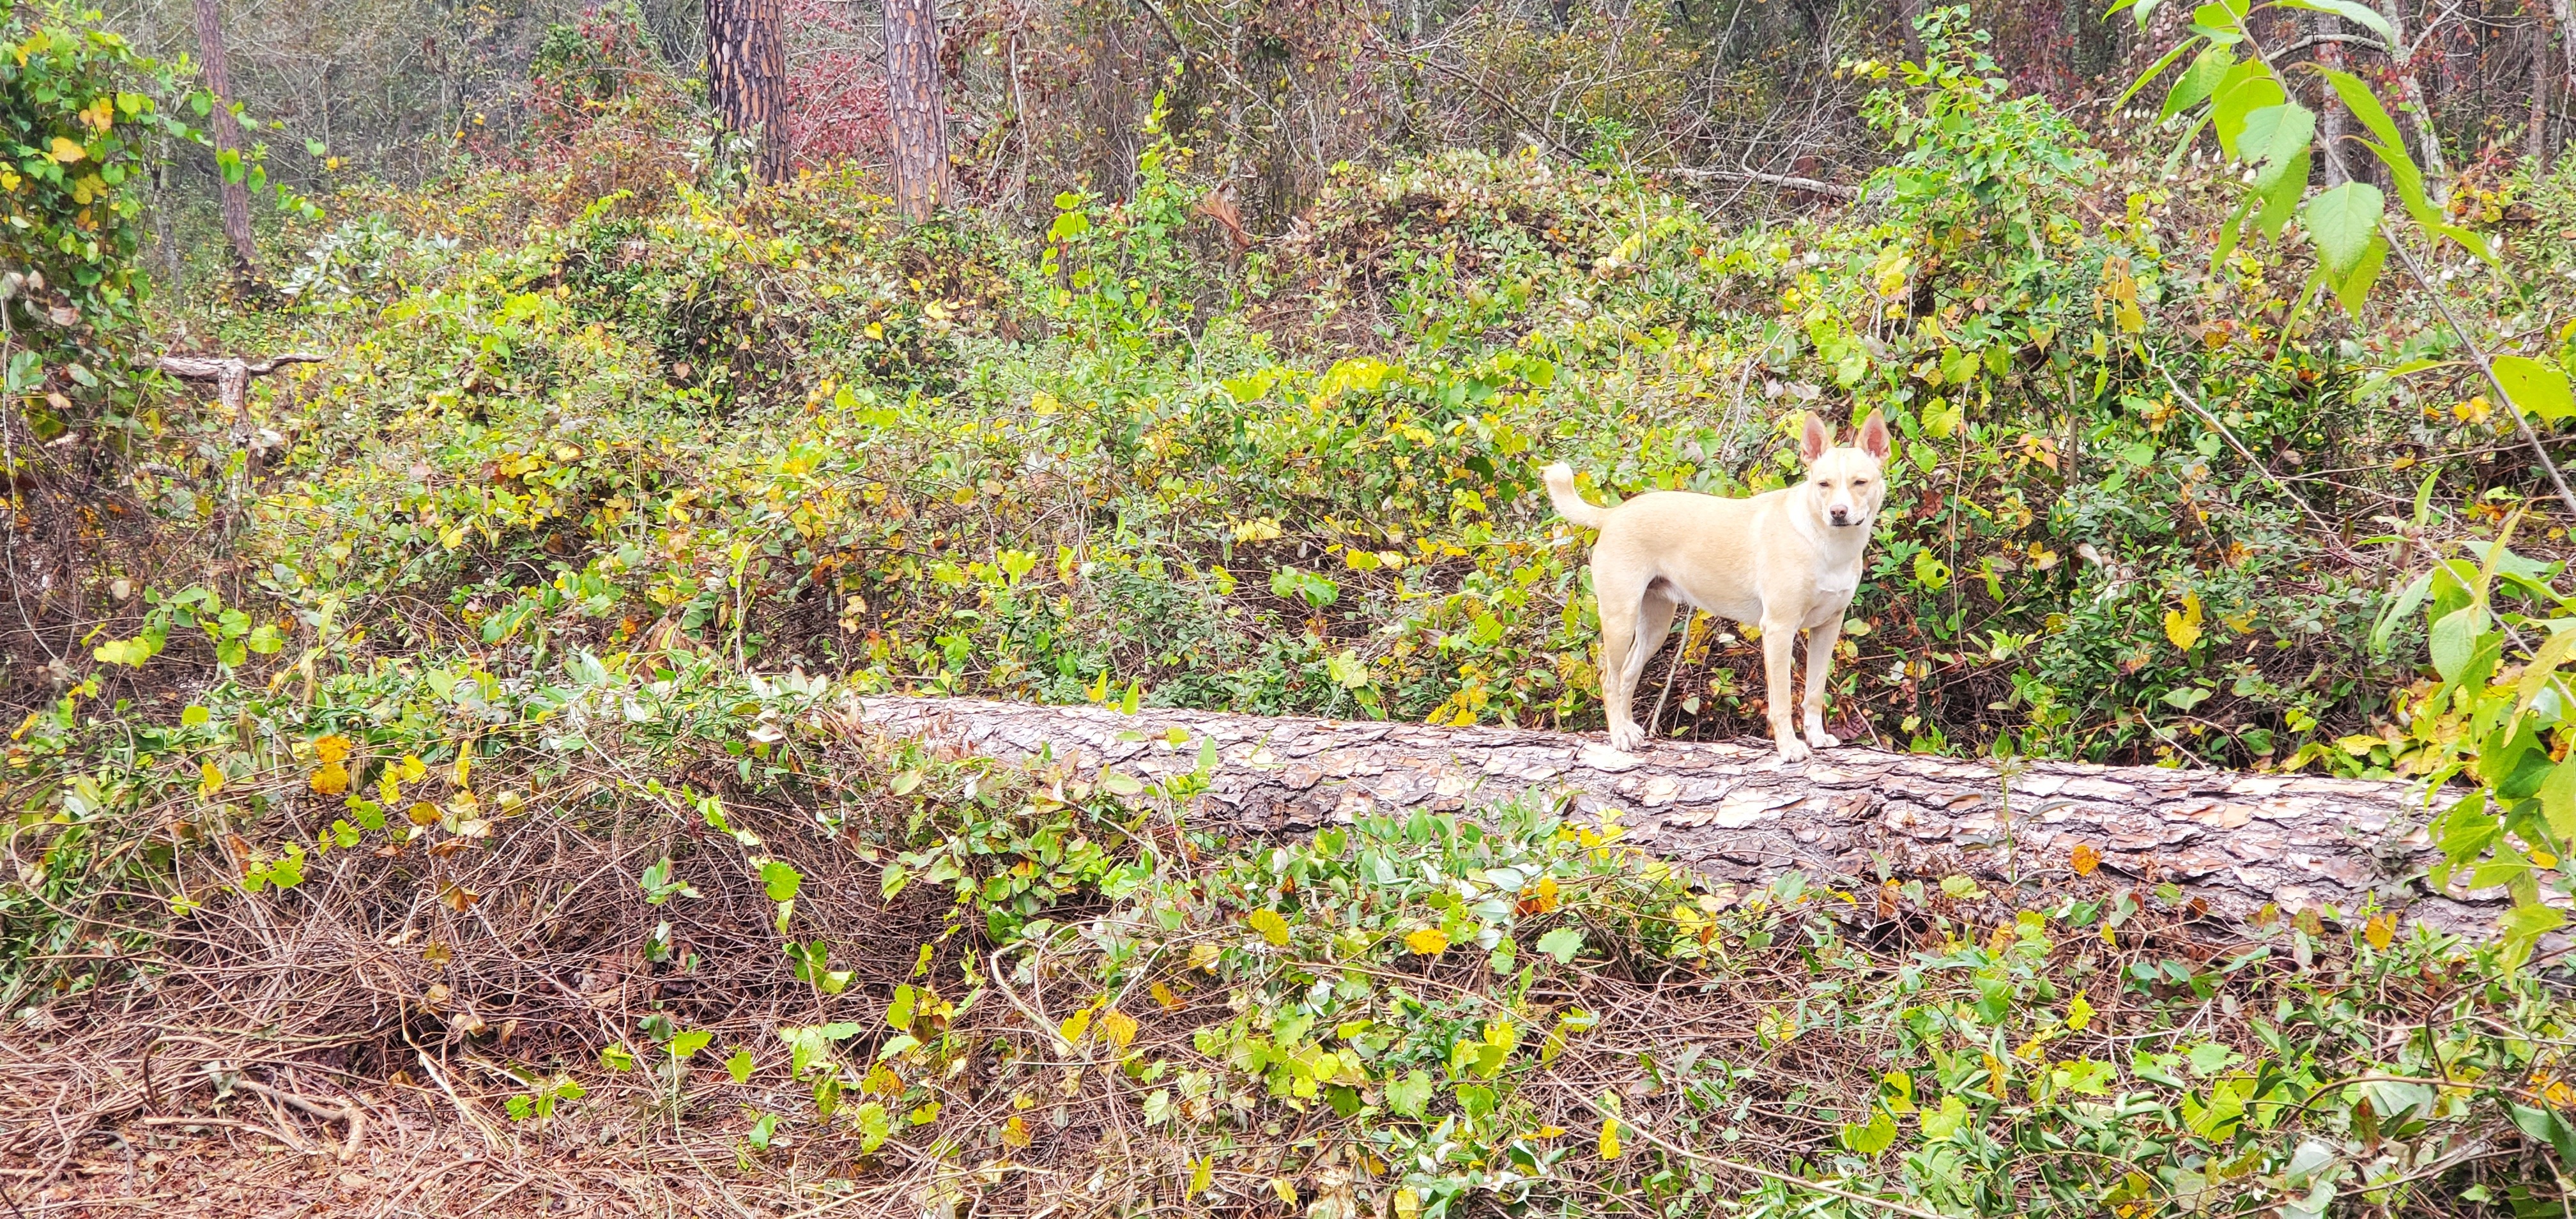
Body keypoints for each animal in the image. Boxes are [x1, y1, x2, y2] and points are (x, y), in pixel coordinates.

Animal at [1545, 417, 1896, 763]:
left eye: (1860, 482)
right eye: (1823, 485)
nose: (1838, 512)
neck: (1827, 543)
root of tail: (1615, 513)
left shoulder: (1828, 627)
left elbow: (1815, 690)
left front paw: (1817, 737)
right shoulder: (1779, 630)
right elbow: (1782, 700)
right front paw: (1789, 747)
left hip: (1655, 625)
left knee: (1629, 674)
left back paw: (1630, 729)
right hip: (1620, 619)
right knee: (1610, 678)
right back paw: (1619, 735)